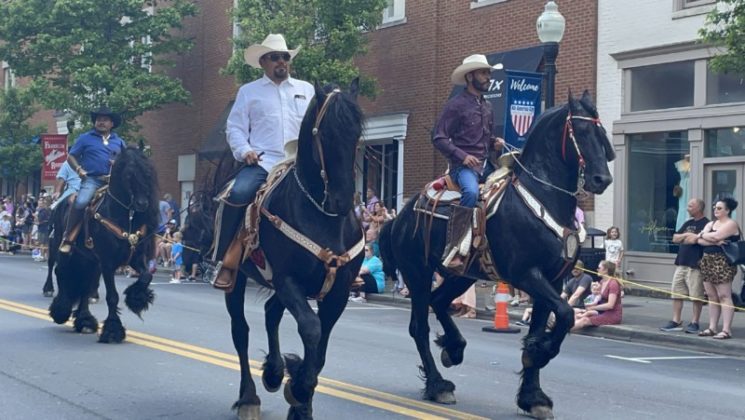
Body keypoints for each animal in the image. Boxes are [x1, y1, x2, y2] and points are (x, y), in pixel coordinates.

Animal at [48, 146, 159, 342]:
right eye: (128, 175)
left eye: (148, 173)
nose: (142, 203)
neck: (124, 217)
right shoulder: (107, 263)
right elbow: (112, 297)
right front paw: (113, 330)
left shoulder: (135, 259)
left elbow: (146, 276)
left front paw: (136, 299)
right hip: (63, 248)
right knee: (60, 271)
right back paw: (61, 310)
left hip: (90, 260)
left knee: (85, 286)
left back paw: (85, 321)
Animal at [203, 79, 364, 420]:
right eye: (324, 134)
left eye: (357, 134)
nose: (343, 199)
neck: (321, 214)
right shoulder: (288, 280)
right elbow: (311, 328)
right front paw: (299, 388)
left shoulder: (338, 291)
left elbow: (320, 346)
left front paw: (301, 399)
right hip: (237, 280)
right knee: (241, 331)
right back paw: (249, 396)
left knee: (270, 312)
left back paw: (275, 372)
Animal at [380, 92, 612, 420]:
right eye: (579, 131)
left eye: (599, 131)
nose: (601, 178)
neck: (544, 196)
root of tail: (399, 218)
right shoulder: (526, 274)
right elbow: (566, 314)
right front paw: (538, 352)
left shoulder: (553, 280)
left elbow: (550, 321)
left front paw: (533, 393)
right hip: (418, 274)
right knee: (419, 327)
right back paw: (438, 385)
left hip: (461, 275)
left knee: (439, 302)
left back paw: (454, 348)